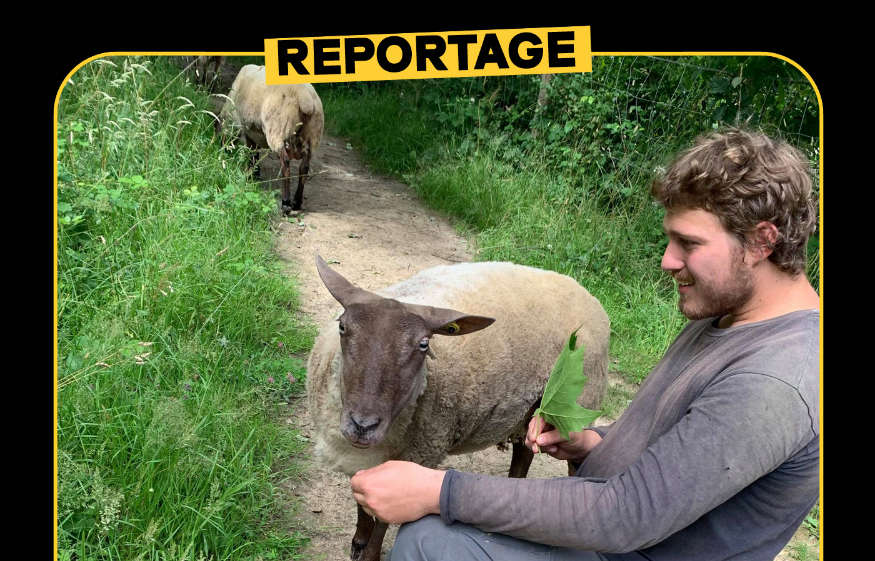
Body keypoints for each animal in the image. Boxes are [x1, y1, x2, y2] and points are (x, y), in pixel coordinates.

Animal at [215, 64, 323, 213]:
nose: (221, 151)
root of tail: (305, 99)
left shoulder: (247, 128)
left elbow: (252, 152)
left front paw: (251, 176)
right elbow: (254, 151)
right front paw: (255, 174)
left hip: (279, 130)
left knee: (285, 164)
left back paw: (286, 203)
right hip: (312, 137)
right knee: (304, 168)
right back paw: (297, 202)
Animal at [306, 255, 610, 561]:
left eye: (423, 344)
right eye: (342, 327)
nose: (363, 425)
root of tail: (583, 290)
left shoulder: (413, 460)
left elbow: (382, 518)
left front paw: (369, 553)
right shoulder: (362, 455)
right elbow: (360, 500)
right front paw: (359, 540)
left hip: (576, 407)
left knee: (573, 462)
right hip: (530, 411)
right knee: (524, 452)